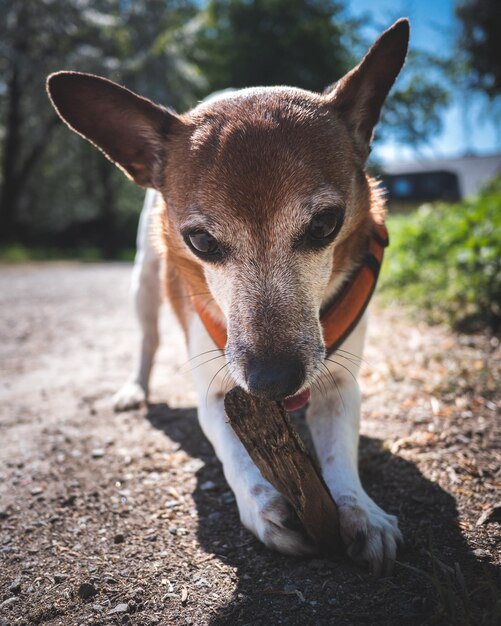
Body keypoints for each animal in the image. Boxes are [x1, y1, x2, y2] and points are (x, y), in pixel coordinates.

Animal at [46, 18, 406, 576]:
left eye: (326, 225)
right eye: (200, 242)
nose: (272, 381)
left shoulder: (338, 385)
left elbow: (340, 456)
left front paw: (361, 511)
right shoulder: (216, 393)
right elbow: (234, 454)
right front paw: (264, 507)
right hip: (142, 284)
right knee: (147, 340)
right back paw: (133, 388)